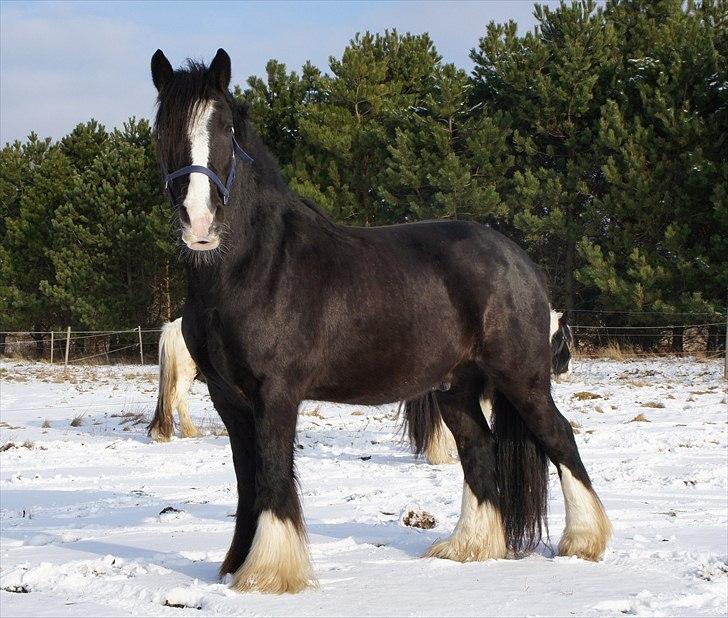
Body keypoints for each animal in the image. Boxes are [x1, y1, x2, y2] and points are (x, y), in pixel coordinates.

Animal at [148, 49, 608, 592]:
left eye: (225, 129)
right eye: (164, 129)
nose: (200, 223)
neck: (256, 266)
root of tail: (520, 262)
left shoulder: (275, 394)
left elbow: (273, 474)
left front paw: (270, 574)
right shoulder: (229, 398)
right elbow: (247, 482)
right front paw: (238, 565)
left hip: (522, 380)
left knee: (560, 438)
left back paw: (584, 541)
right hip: (457, 389)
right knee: (480, 451)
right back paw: (468, 548)